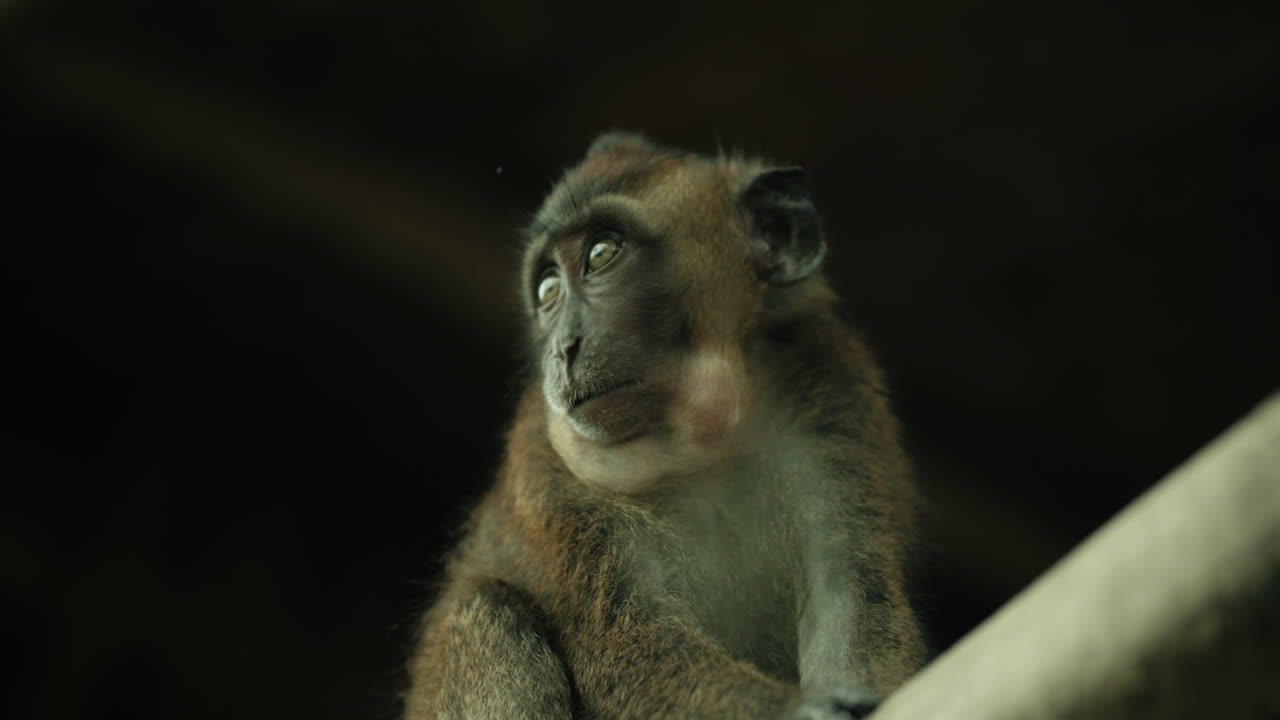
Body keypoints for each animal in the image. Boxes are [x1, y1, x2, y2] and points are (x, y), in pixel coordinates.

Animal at [403, 132, 925, 720]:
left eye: (601, 255)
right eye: (548, 291)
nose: (563, 349)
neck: (702, 450)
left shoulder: (831, 390)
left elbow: (849, 593)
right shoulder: (546, 467)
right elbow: (624, 650)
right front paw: (802, 709)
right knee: (486, 614)